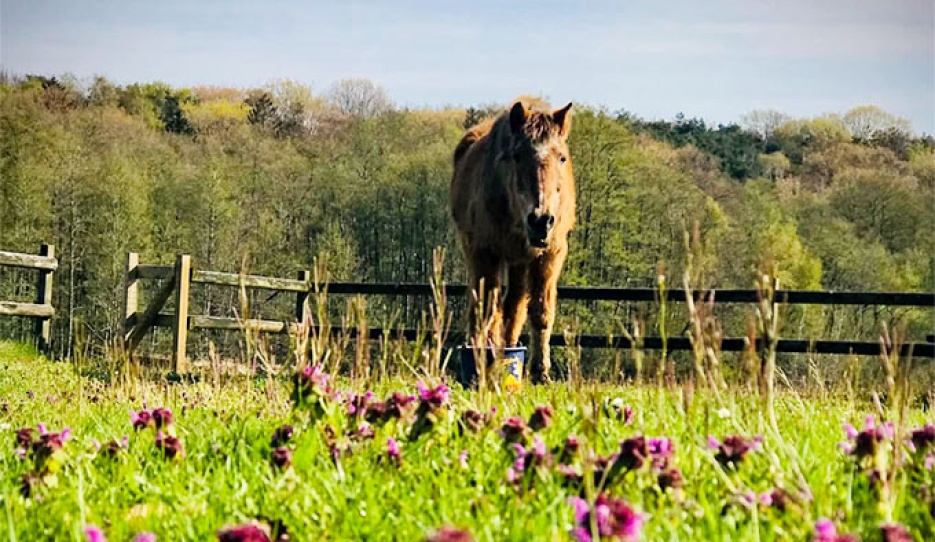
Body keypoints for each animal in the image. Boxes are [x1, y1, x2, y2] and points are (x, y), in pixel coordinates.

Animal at [449, 96, 576, 384]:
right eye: (517, 156)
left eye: (562, 157)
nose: (541, 220)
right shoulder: (486, 252)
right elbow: (487, 310)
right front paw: (482, 364)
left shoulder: (550, 254)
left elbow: (540, 311)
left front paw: (541, 372)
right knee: (484, 306)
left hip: (519, 262)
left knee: (514, 307)